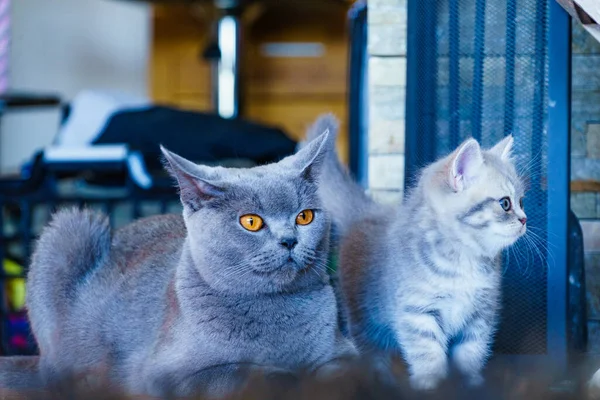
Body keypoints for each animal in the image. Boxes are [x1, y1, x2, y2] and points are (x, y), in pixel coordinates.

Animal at [25, 130, 356, 396]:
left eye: (305, 217)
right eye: (251, 221)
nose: (289, 240)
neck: (274, 309)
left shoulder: (342, 350)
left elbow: (343, 370)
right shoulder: (162, 375)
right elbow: (237, 372)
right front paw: (285, 375)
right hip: (69, 229)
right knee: (50, 370)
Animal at [304, 114, 524, 390]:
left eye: (522, 202)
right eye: (505, 204)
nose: (525, 219)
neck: (463, 259)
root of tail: (369, 211)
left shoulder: (479, 319)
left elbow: (470, 358)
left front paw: (471, 386)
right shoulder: (418, 315)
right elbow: (430, 359)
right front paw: (432, 387)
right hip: (365, 322)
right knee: (372, 357)